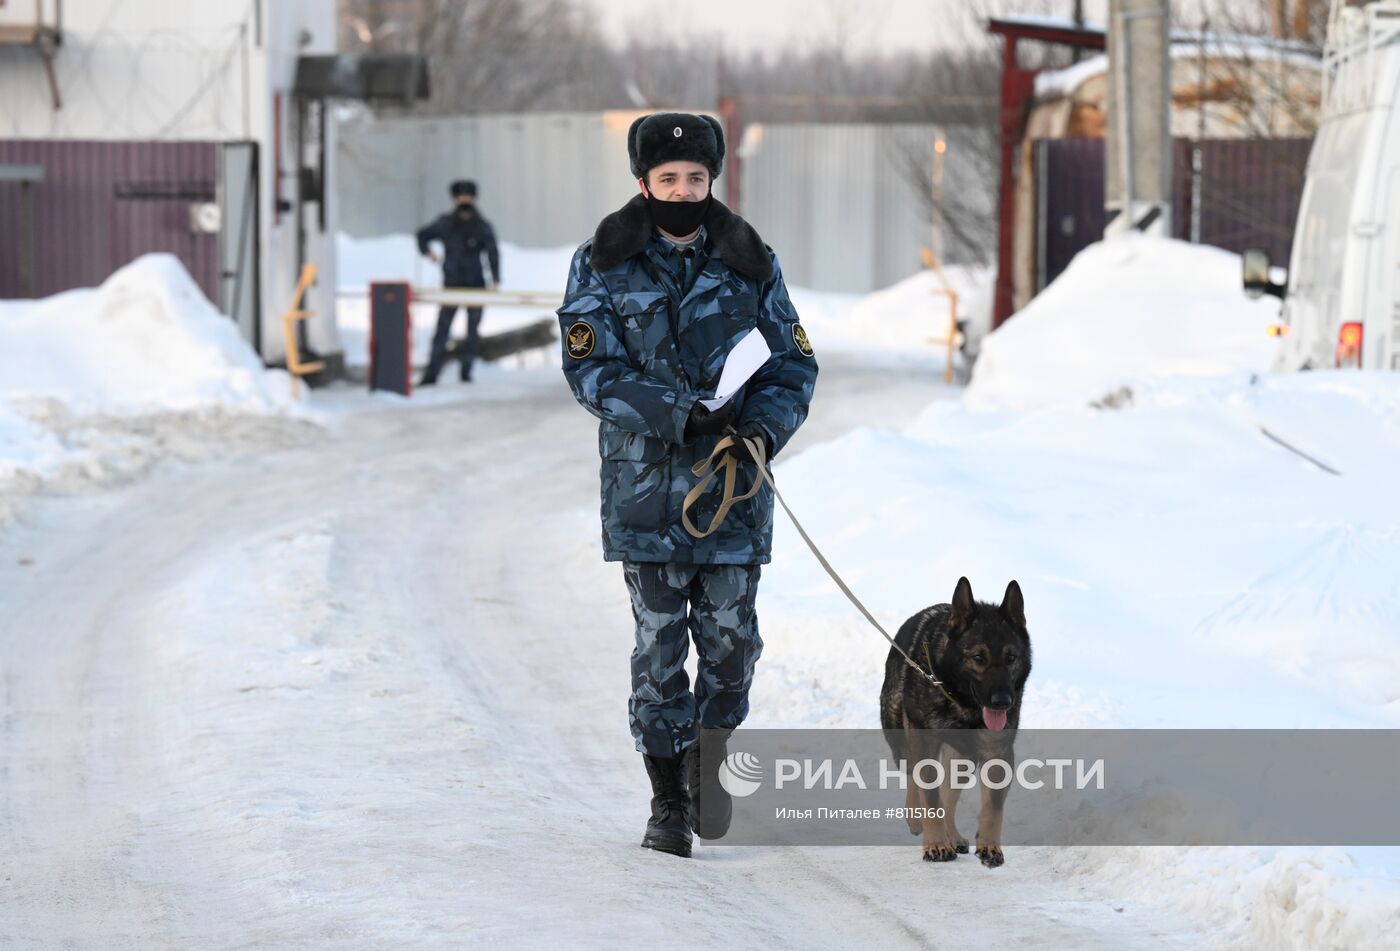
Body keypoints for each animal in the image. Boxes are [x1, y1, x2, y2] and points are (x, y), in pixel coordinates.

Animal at [879, 577, 1036, 868]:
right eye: (979, 657)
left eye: (1011, 658)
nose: (1003, 702)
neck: (963, 705)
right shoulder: (924, 740)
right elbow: (929, 797)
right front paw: (935, 844)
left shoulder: (998, 752)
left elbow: (993, 806)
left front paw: (989, 846)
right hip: (901, 739)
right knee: (914, 775)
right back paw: (917, 818)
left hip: (963, 758)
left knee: (948, 793)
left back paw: (951, 834)